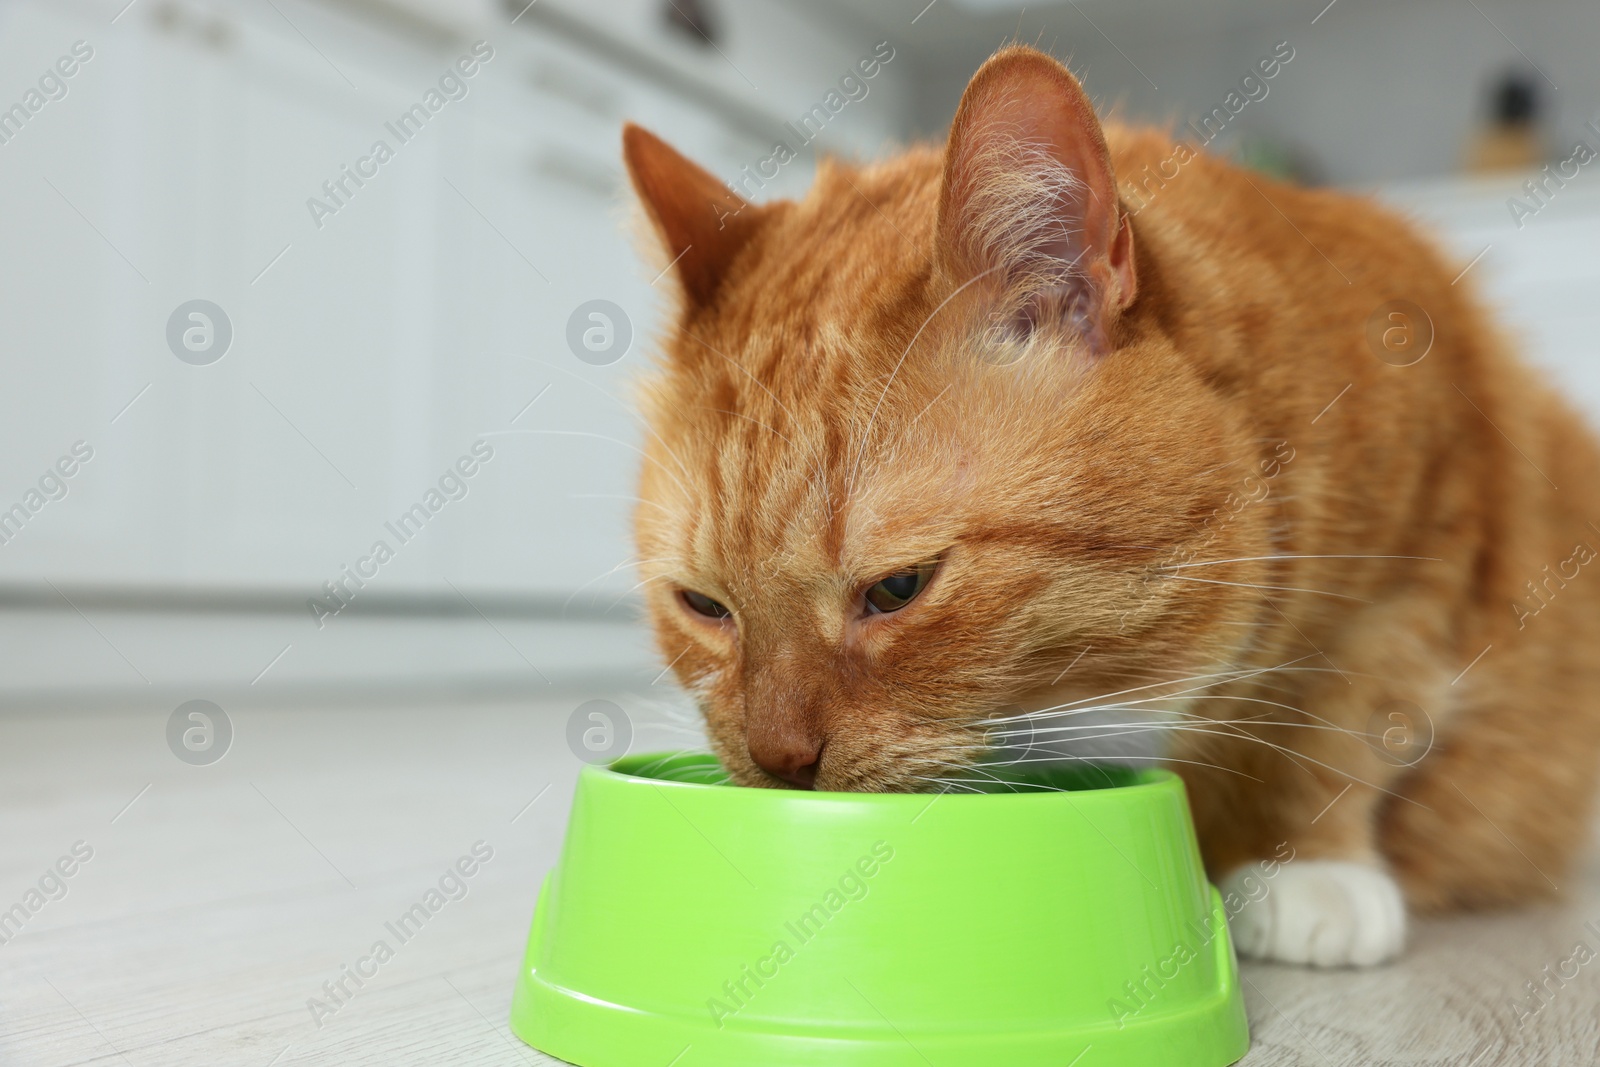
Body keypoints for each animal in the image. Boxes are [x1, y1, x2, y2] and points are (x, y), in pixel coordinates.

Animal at [617, 47, 1600, 966]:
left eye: (899, 587)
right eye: (702, 605)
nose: (780, 762)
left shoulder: (1421, 553)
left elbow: (1338, 720)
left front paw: (1307, 862)